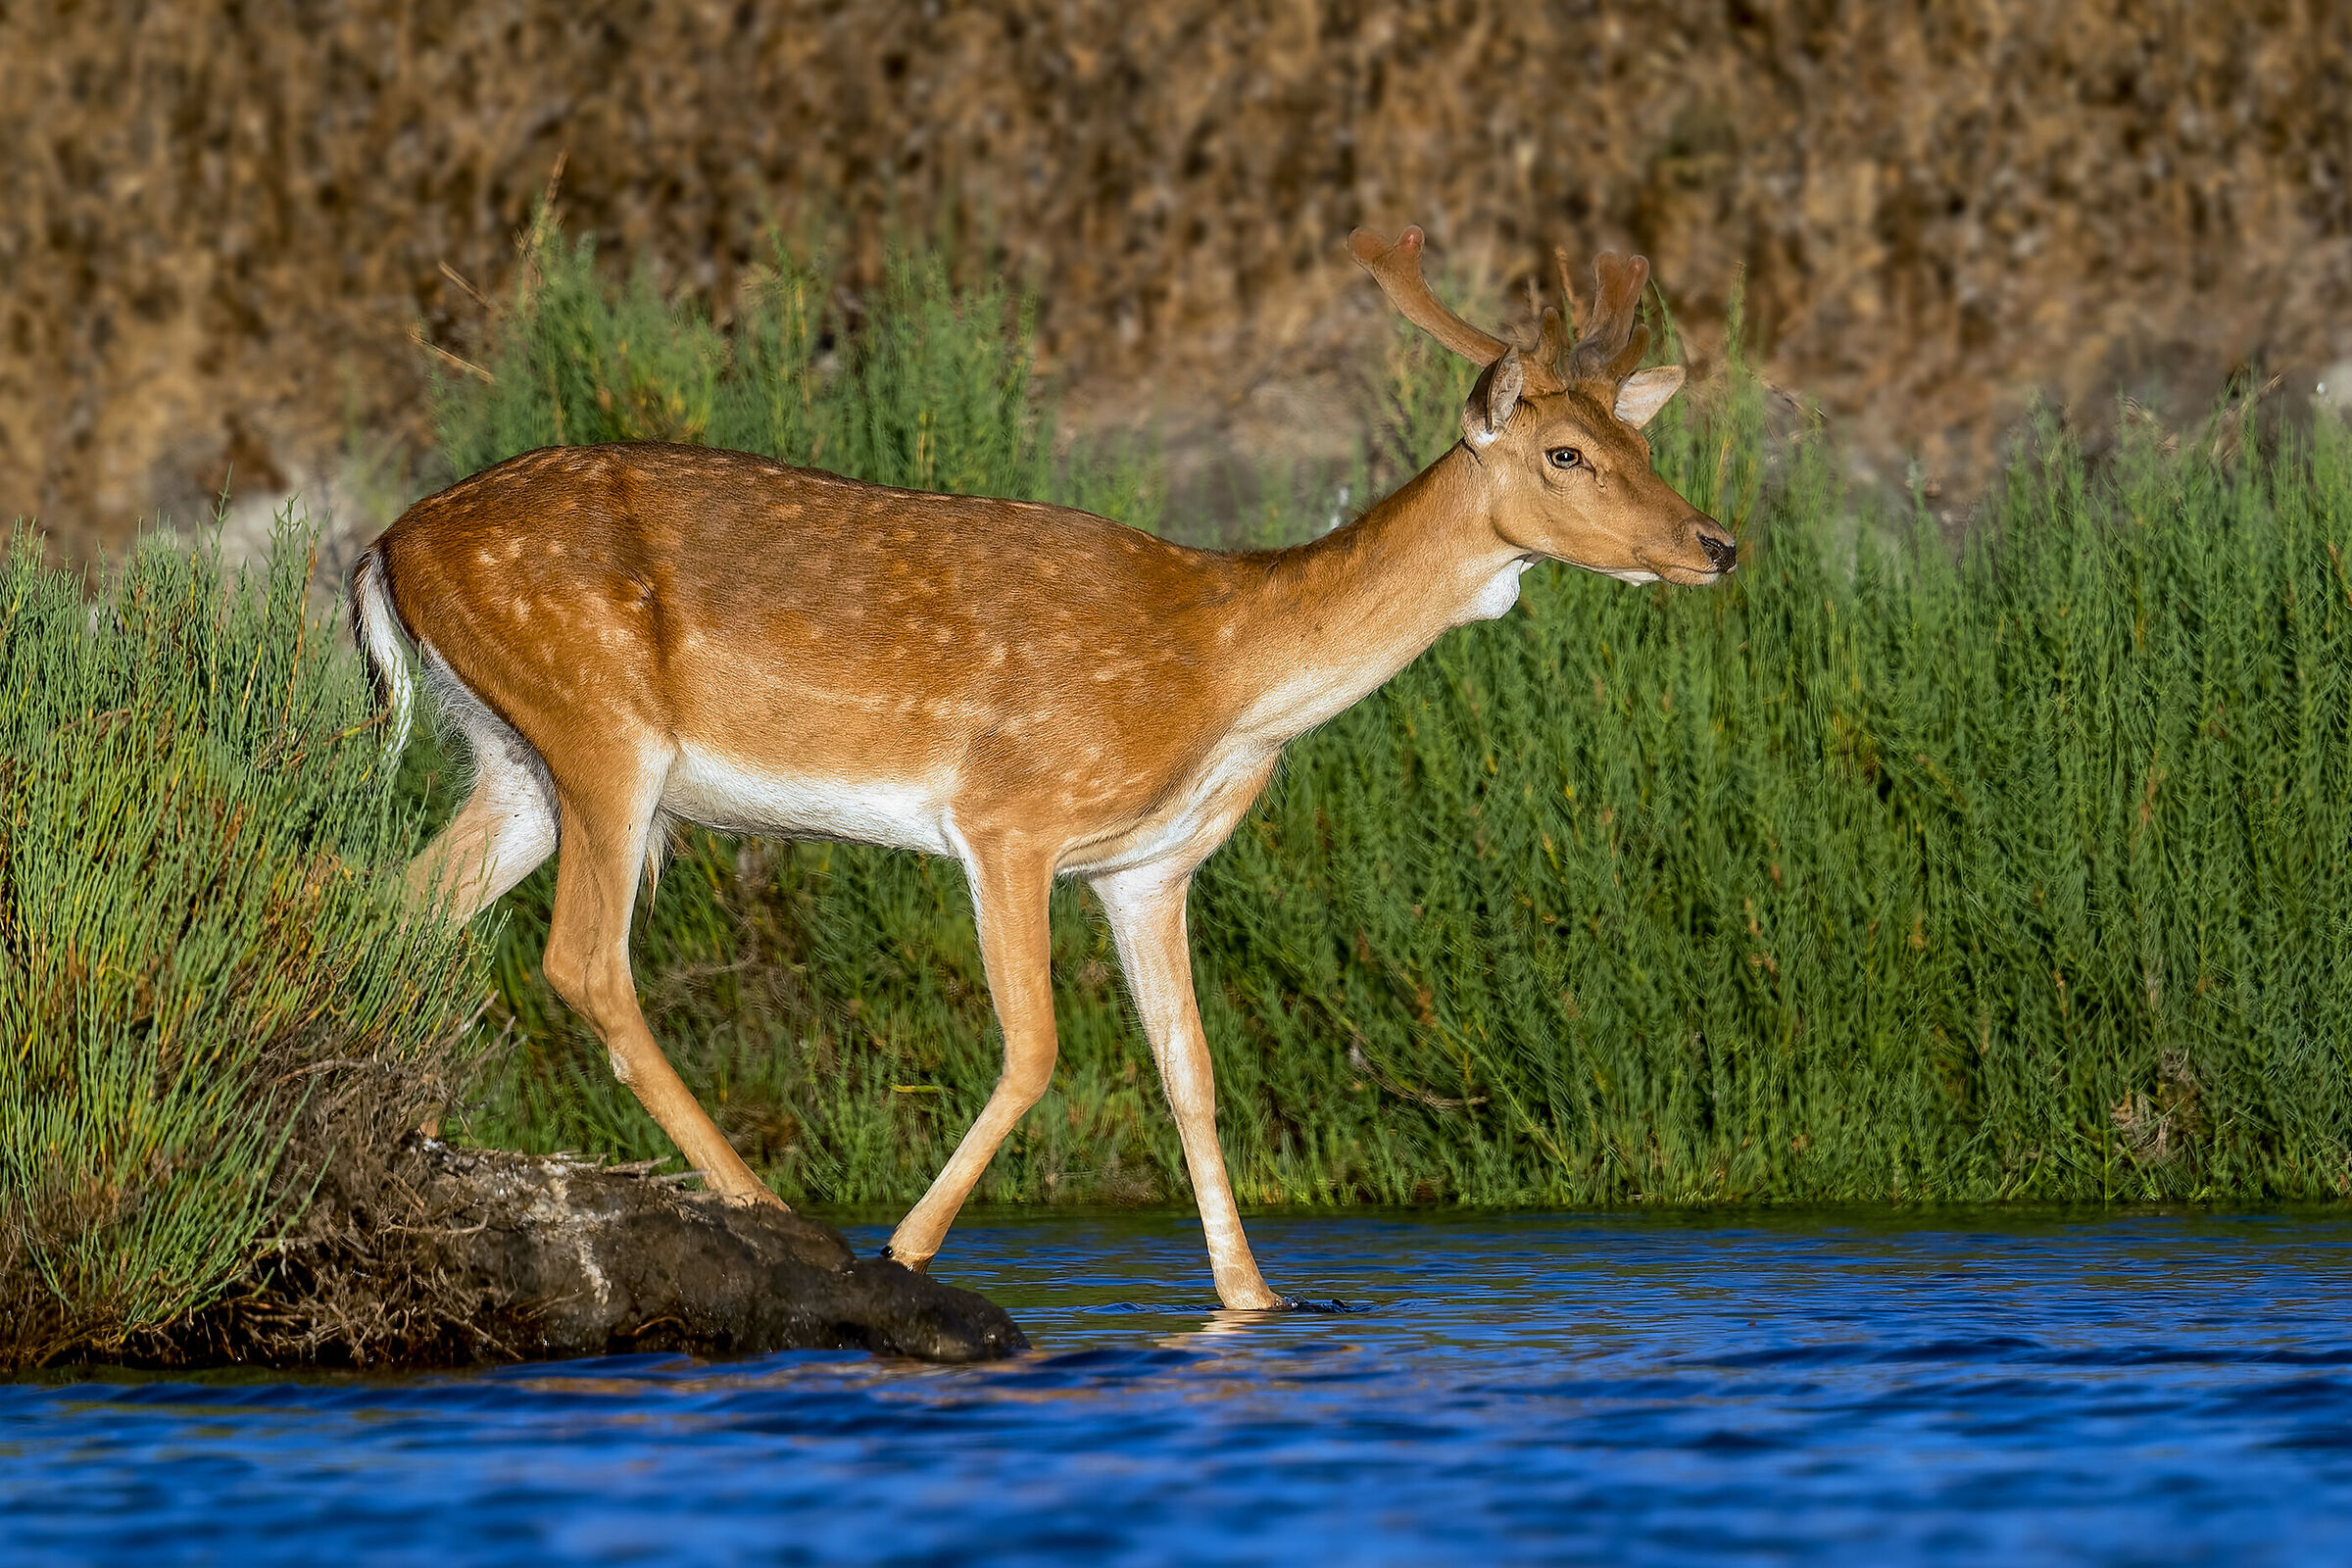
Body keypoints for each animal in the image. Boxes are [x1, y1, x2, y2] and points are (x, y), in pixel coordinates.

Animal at [350, 227, 1734, 1312]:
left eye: (1639, 442)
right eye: (1564, 455)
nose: (1715, 543)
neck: (1229, 673)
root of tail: (383, 544)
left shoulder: (1151, 866)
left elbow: (1191, 1073)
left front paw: (1255, 1298)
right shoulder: (1011, 812)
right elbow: (1036, 1048)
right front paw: (906, 1252)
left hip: (518, 765)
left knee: (390, 907)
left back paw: (409, 1147)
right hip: (601, 727)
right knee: (582, 961)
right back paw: (773, 1213)